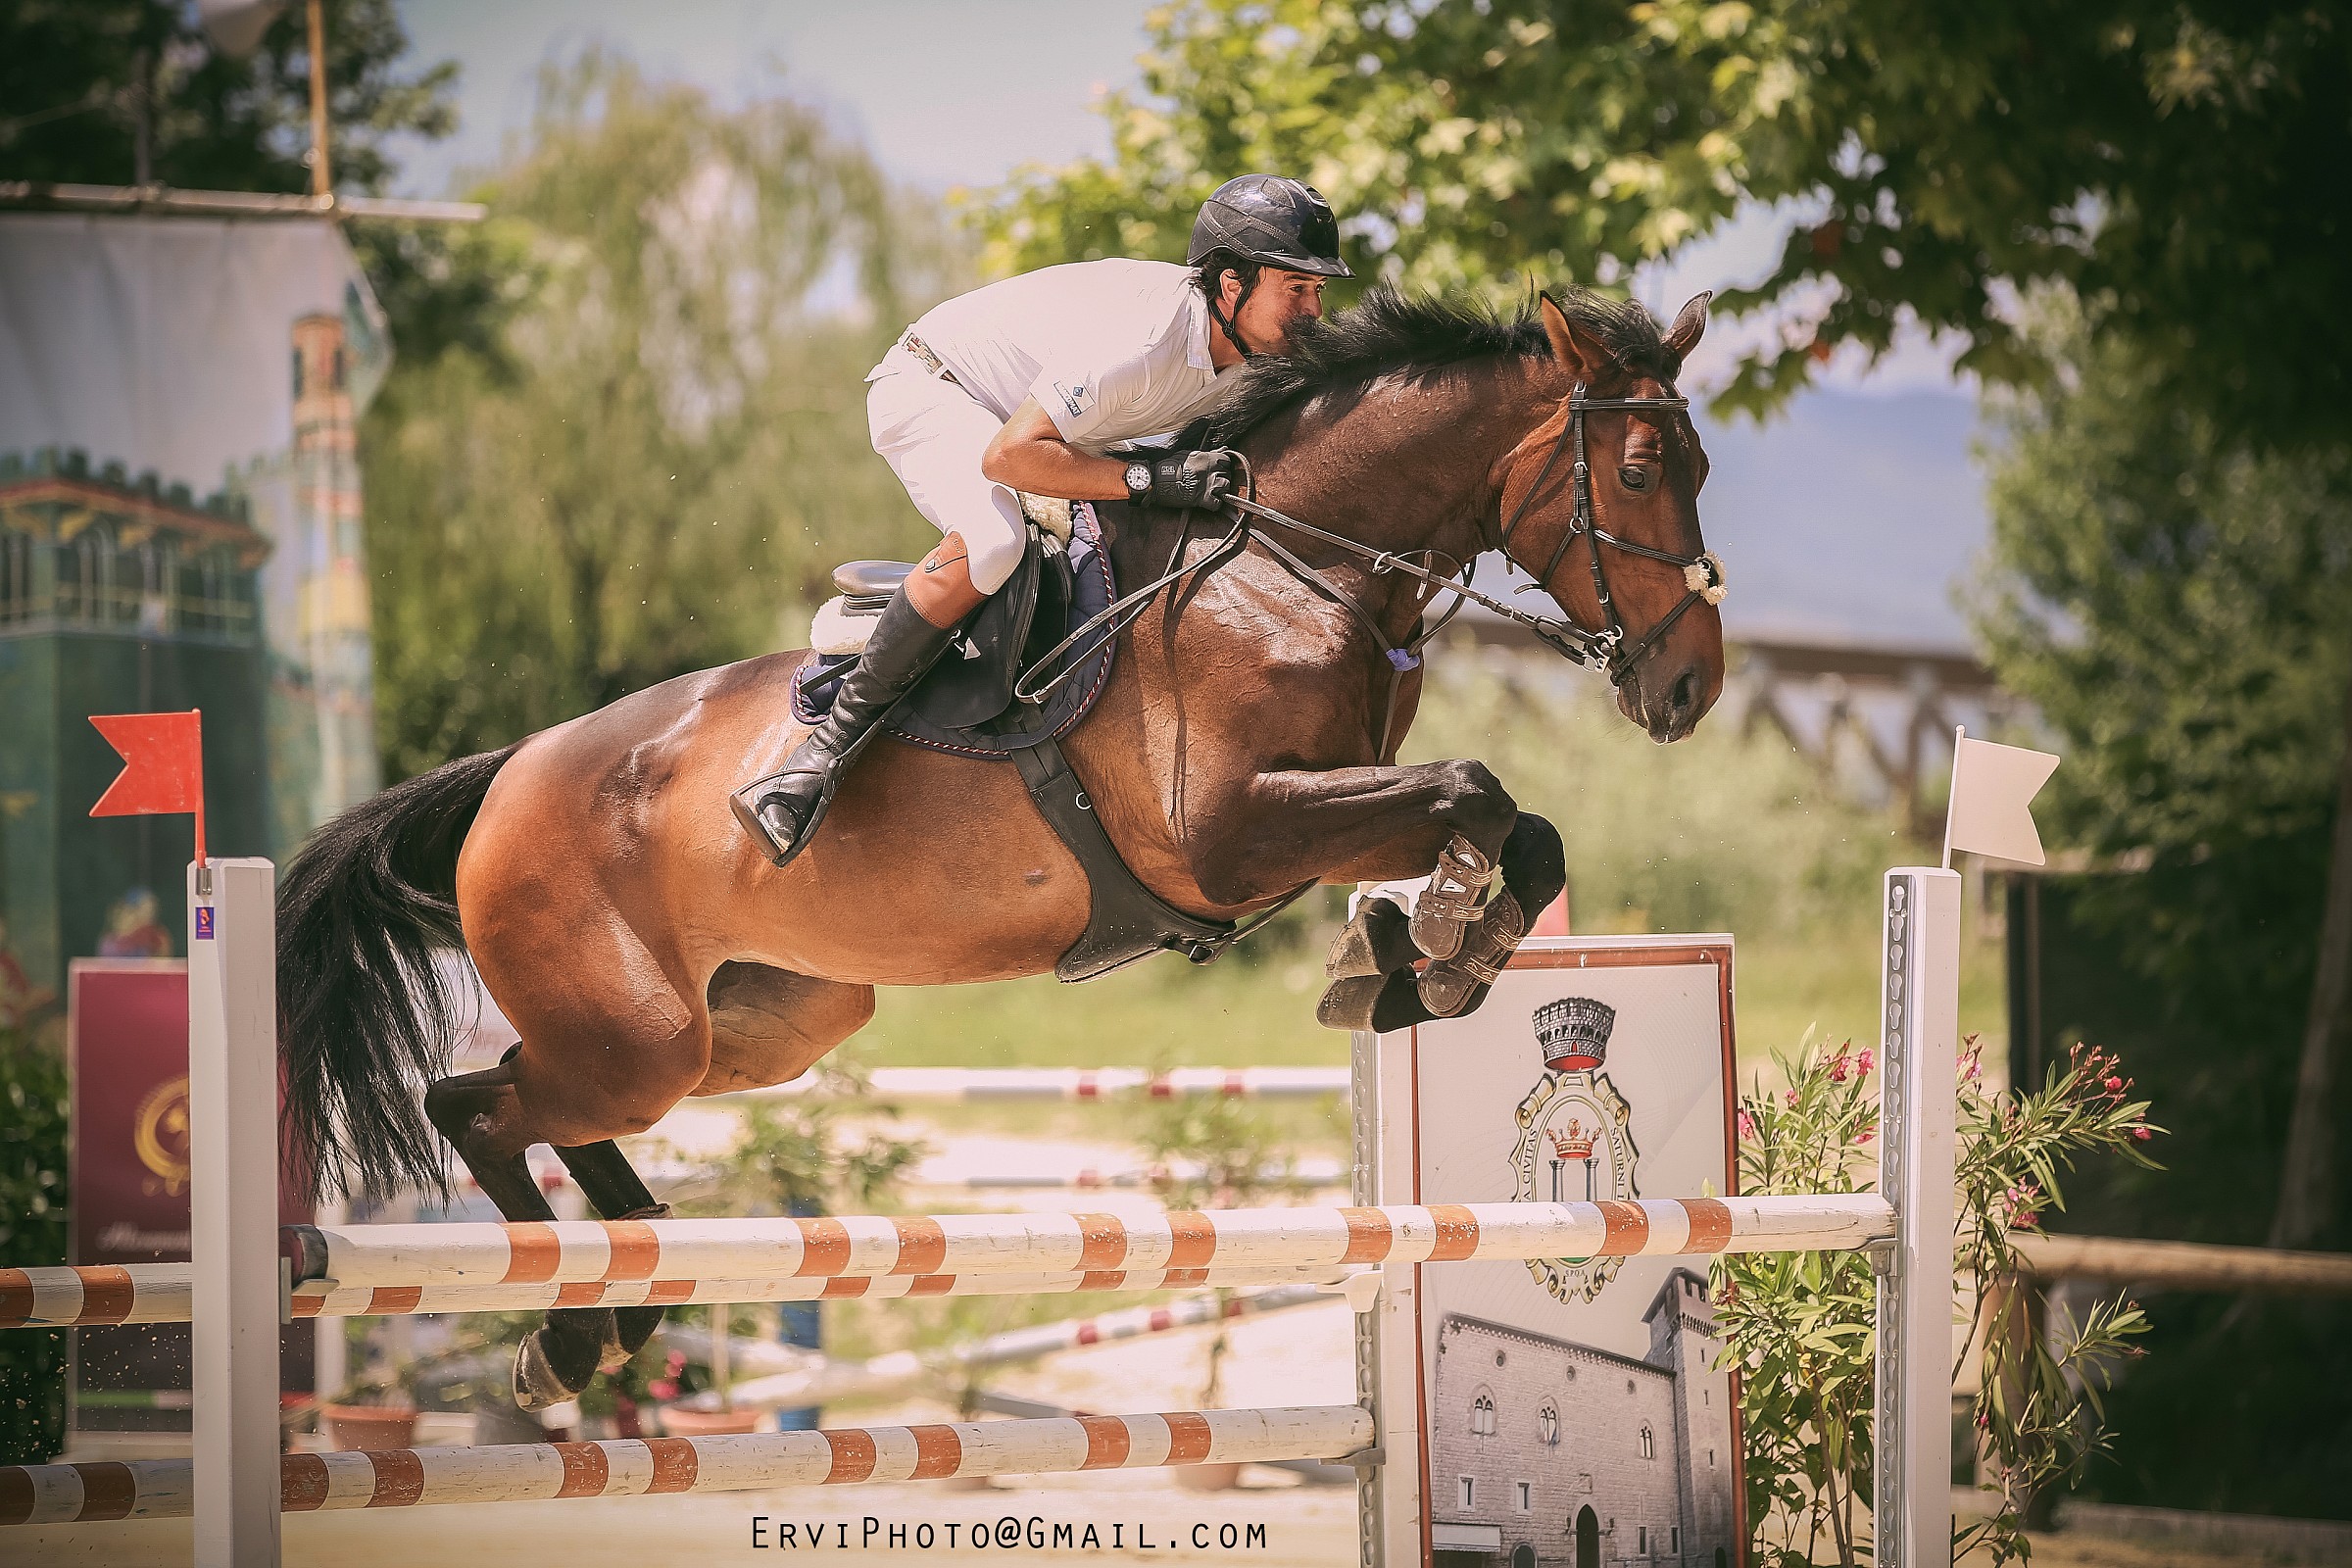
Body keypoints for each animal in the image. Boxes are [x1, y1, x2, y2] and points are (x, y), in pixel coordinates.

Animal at [278, 284, 1726, 1409]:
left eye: (1700, 469)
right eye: (1638, 473)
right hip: (637, 1038)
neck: (1288, 567)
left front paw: (1418, 955)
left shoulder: (1316, 811)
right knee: (472, 1106)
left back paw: (620, 1296)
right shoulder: (1236, 832)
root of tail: (512, 771)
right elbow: (1473, 788)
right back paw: (573, 1332)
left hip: (754, 1027)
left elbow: (1516, 829)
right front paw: (1419, 948)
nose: (1692, 688)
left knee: (527, 1103)